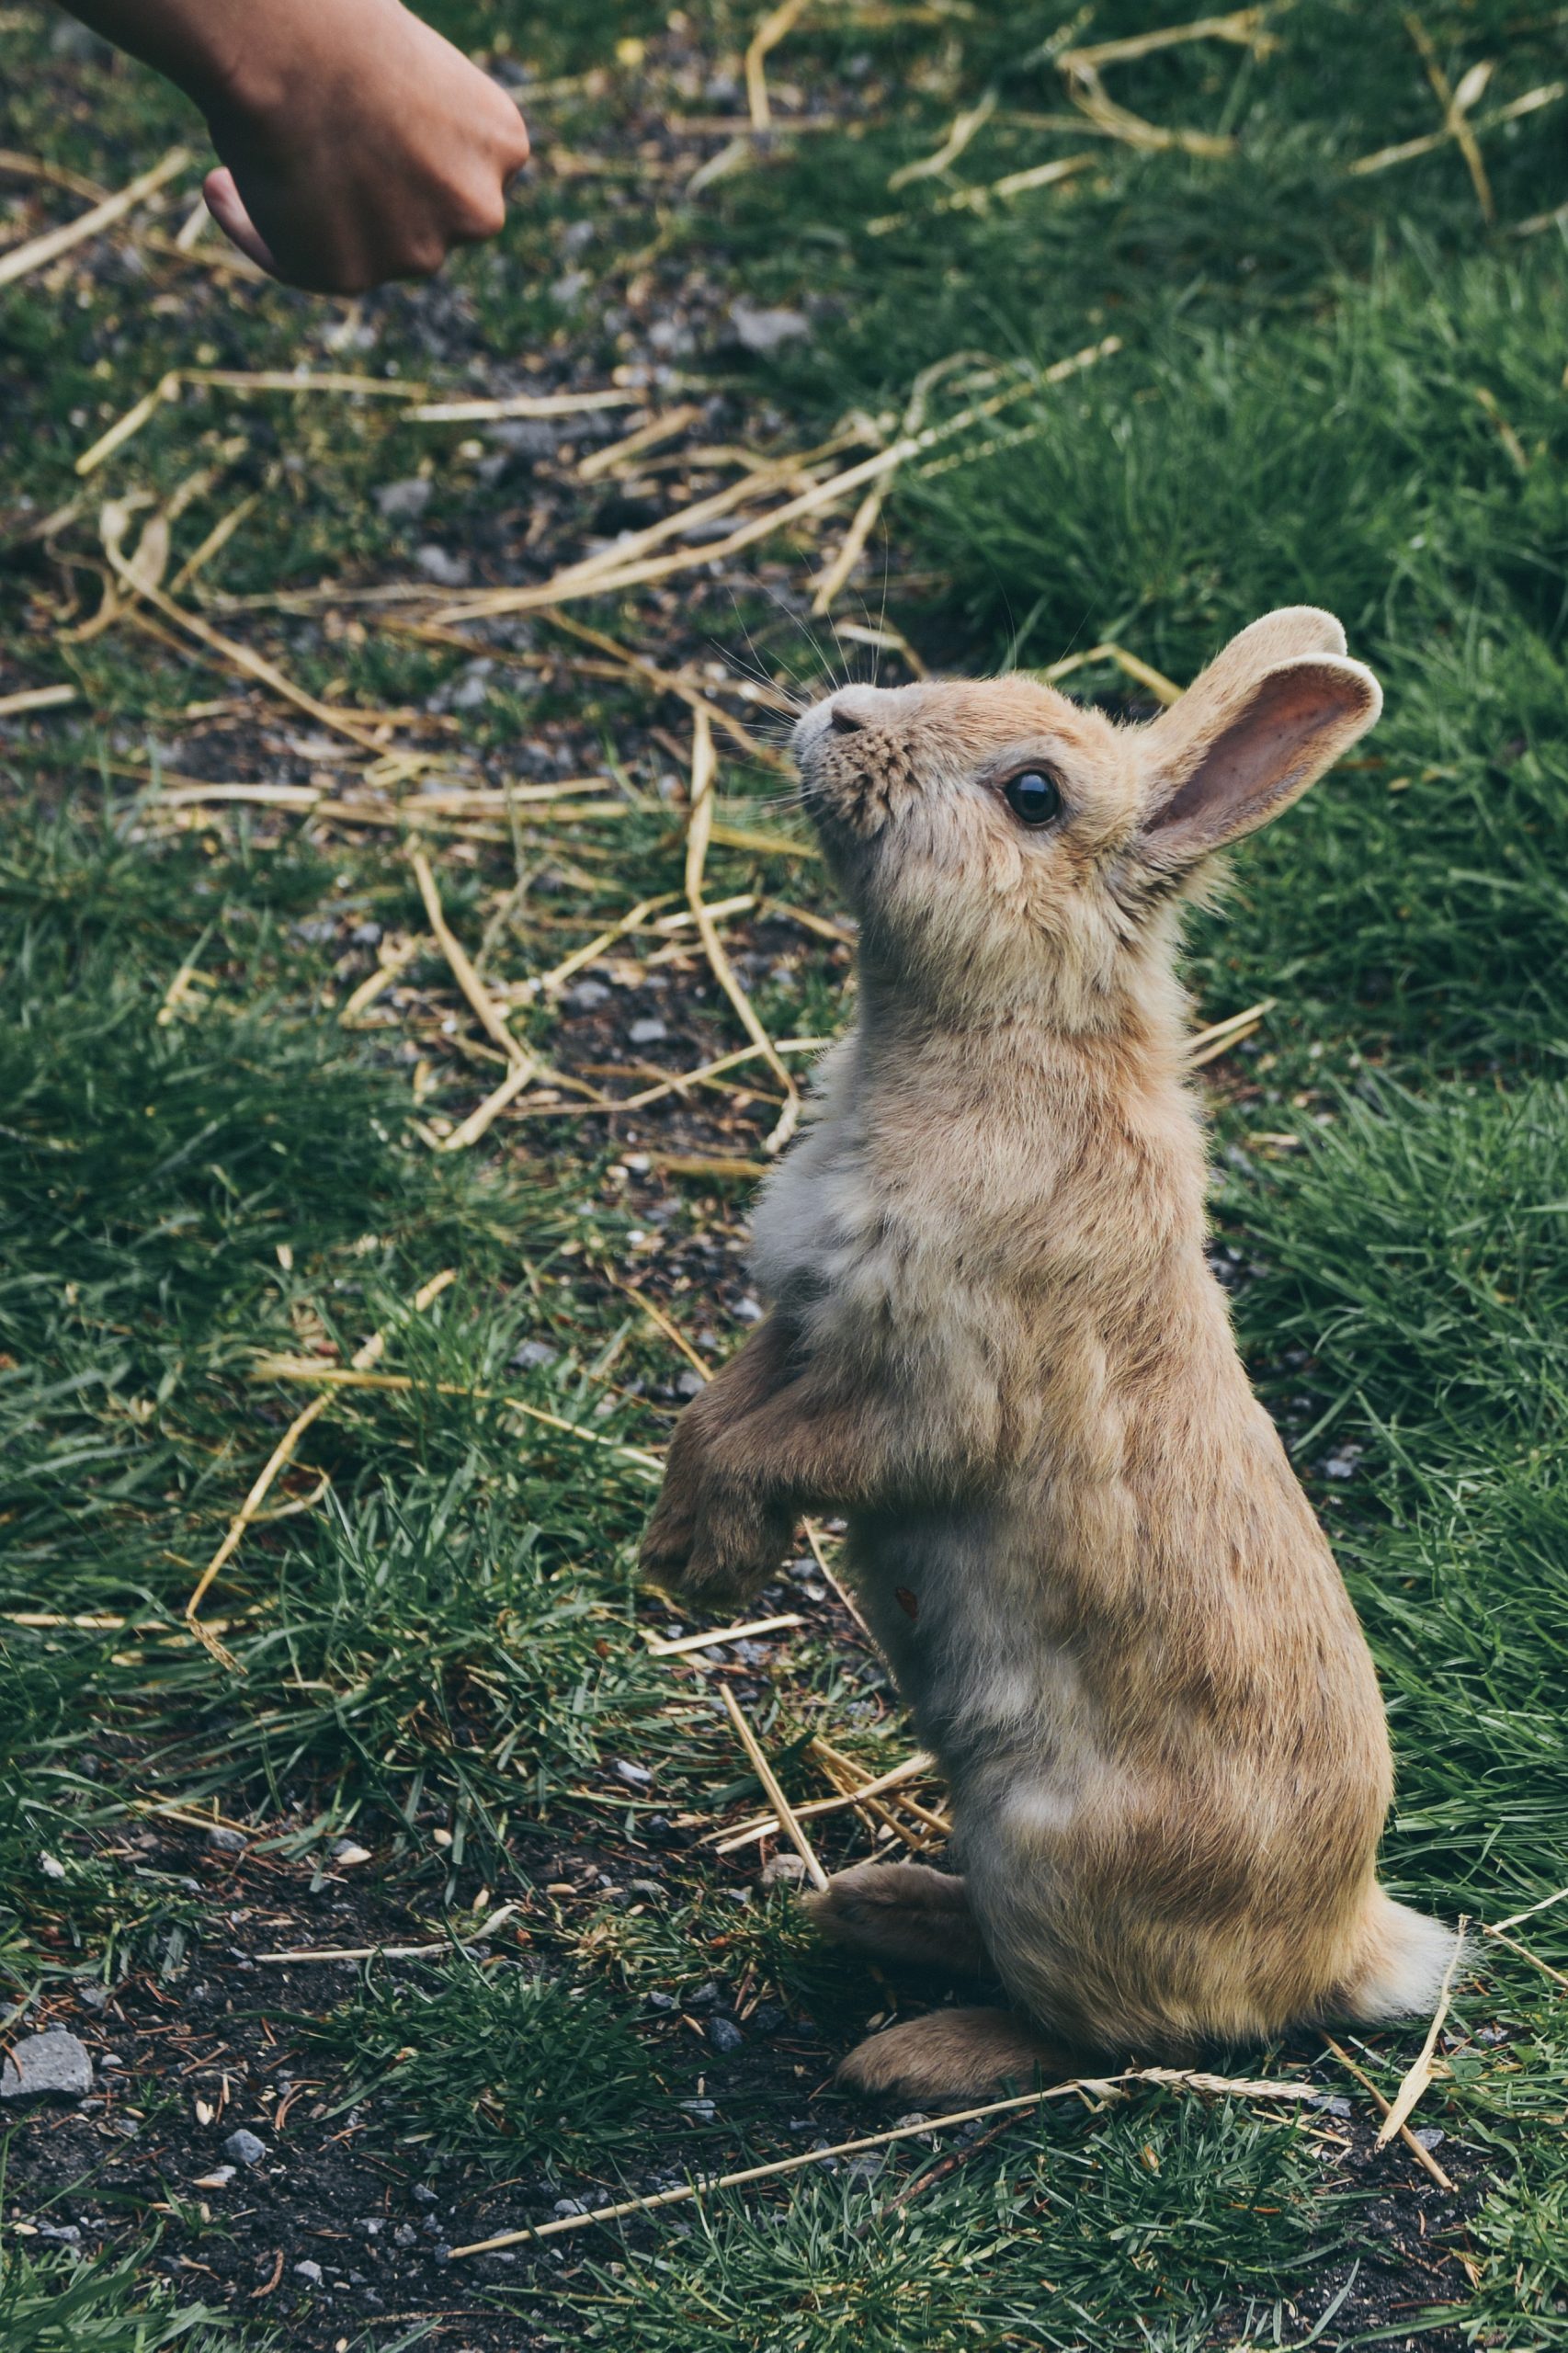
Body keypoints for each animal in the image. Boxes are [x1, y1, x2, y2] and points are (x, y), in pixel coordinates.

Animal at [640, 607, 1460, 2101]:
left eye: (1031, 796)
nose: (841, 716)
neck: (998, 1033)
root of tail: (1346, 1946)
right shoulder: (801, 1322)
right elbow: (712, 1416)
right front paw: (676, 1553)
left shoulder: (925, 1387)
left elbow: (788, 1449)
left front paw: (706, 1565)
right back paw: (868, 1904)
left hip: (1045, 1855)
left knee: (1097, 2033)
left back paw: (907, 2050)